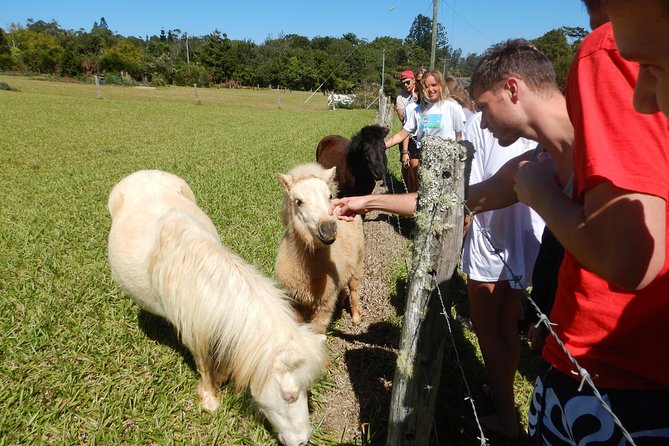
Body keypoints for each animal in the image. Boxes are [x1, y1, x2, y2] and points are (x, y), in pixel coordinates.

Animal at [106, 169, 326, 444]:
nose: (303, 441)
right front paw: (210, 400)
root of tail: (141, 173)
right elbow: (203, 364)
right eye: (289, 396)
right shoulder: (193, 333)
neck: (195, 272)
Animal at [274, 164, 362, 334]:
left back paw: (356, 318)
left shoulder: (324, 305)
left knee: (354, 289)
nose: (328, 229)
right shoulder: (295, 302)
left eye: (329, 196)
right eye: (298, 201)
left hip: (358, 264)